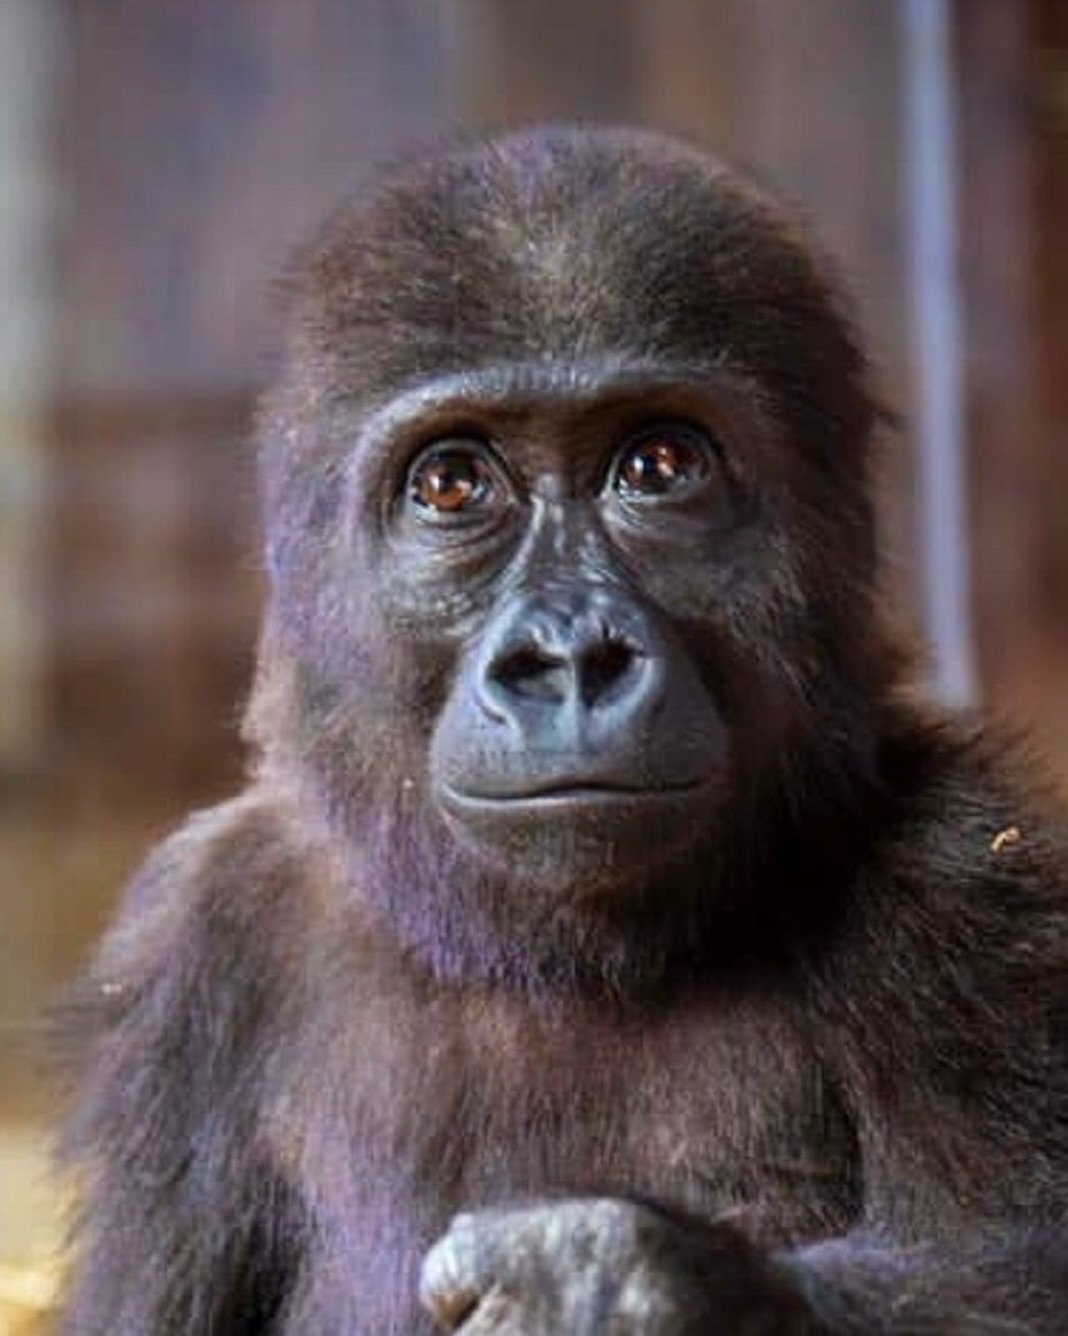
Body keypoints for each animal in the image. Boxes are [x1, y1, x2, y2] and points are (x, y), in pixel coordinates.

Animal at [58, 125, 1068, 1334]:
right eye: (452, 483)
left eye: (660, 467)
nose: (571, 658)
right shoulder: (189, 950)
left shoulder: (964, 880)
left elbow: (1020, 1262)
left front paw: (624, 1284)